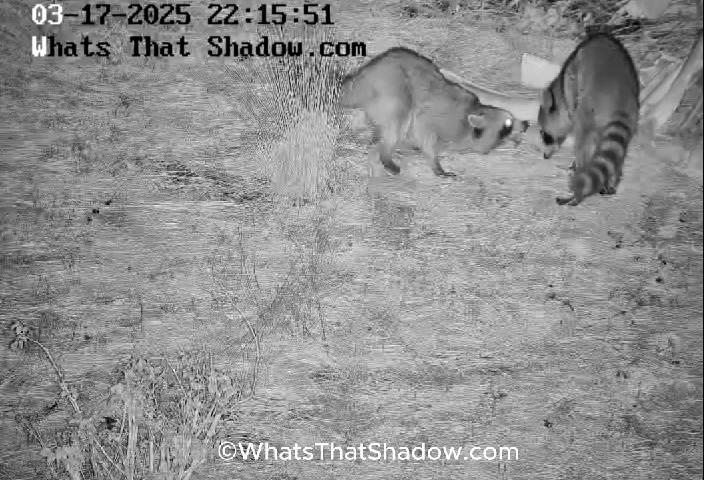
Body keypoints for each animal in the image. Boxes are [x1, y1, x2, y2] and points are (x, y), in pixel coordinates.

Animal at [340, 47, 529, 177]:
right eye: (507, 125)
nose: (526, 124)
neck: (472, 112)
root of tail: (364, 75)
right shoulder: (440, 118)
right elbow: (424, 130)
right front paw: (435, 162)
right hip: (392, 87)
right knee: (399, 120)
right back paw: (386, 153)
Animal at [537, 33, 640, 206]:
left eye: (546, 135)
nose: (545, 156)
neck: (559, 94)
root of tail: (621, 99)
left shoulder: (571, 81)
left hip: (588, 109)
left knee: (582, 142)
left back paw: (578, 184)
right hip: (631, 116)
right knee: (617, 153)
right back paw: (614, 178)